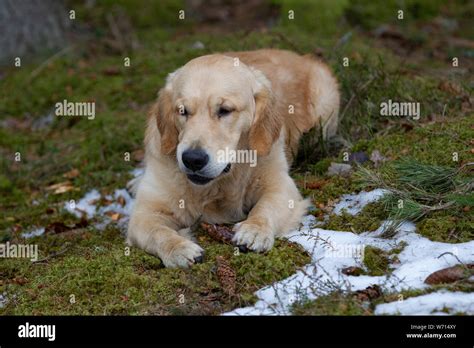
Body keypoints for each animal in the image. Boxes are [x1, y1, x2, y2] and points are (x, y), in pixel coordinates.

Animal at [128, 49, 338, 268]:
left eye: (225, 110)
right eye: (182, 111)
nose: (193, 159)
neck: (217, 186)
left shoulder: (280, 184)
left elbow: (266, 207)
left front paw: (254, 230)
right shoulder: (143, 214)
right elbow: (158, 231)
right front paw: (179, 248)